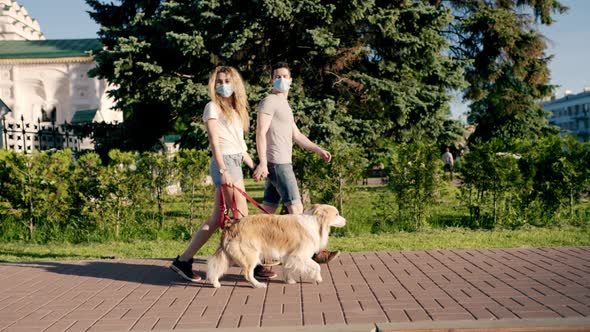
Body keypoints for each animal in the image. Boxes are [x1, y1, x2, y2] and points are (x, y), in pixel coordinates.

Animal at [208, 204, 346, 286]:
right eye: (337, 214)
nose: (346, 221)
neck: (316, 222)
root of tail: (230, 225)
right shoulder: (298, 255)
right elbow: (316, 266)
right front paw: (318, 278)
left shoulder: (289, 256)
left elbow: (288, 268)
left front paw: (290, 280)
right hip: (251, 255)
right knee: (247, 273)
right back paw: (258, 285)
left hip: (228, 256)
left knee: (216, 267)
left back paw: (215, 283)